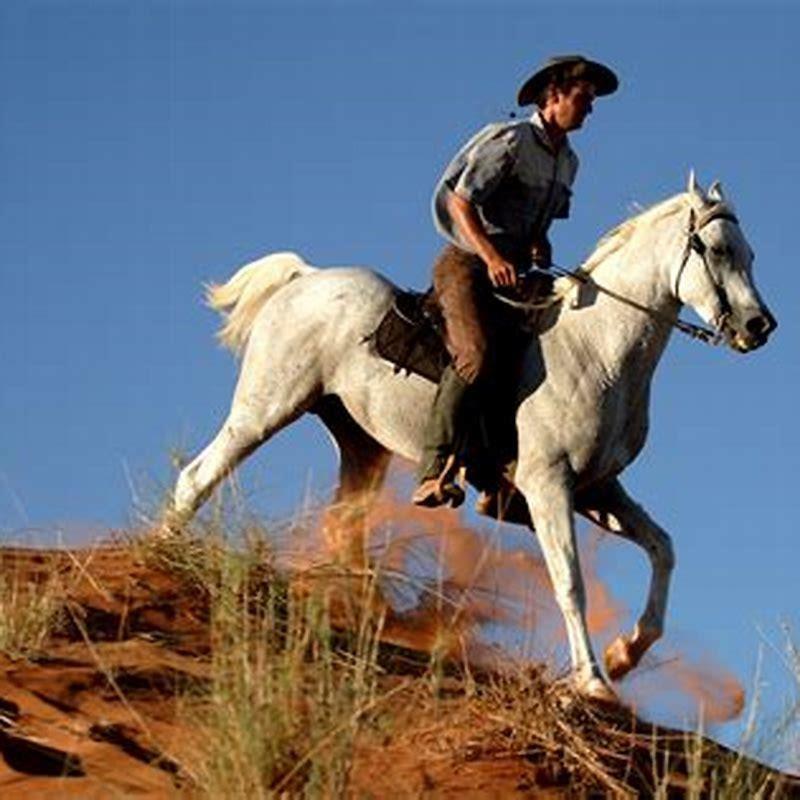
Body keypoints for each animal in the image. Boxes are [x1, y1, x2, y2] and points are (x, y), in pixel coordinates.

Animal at [169, 174, 776, 702]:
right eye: (717, 250)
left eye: (749, 254)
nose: (759, 327)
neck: (597, 349)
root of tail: (305, 277)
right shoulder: (548, 484)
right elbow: (570, 582)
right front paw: (593, 681)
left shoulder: (597, 491)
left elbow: (663, 549)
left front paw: (625, 653)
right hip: (265, 409)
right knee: (197, 477)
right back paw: (168, 549)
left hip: (362, 445)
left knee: (341, 524)